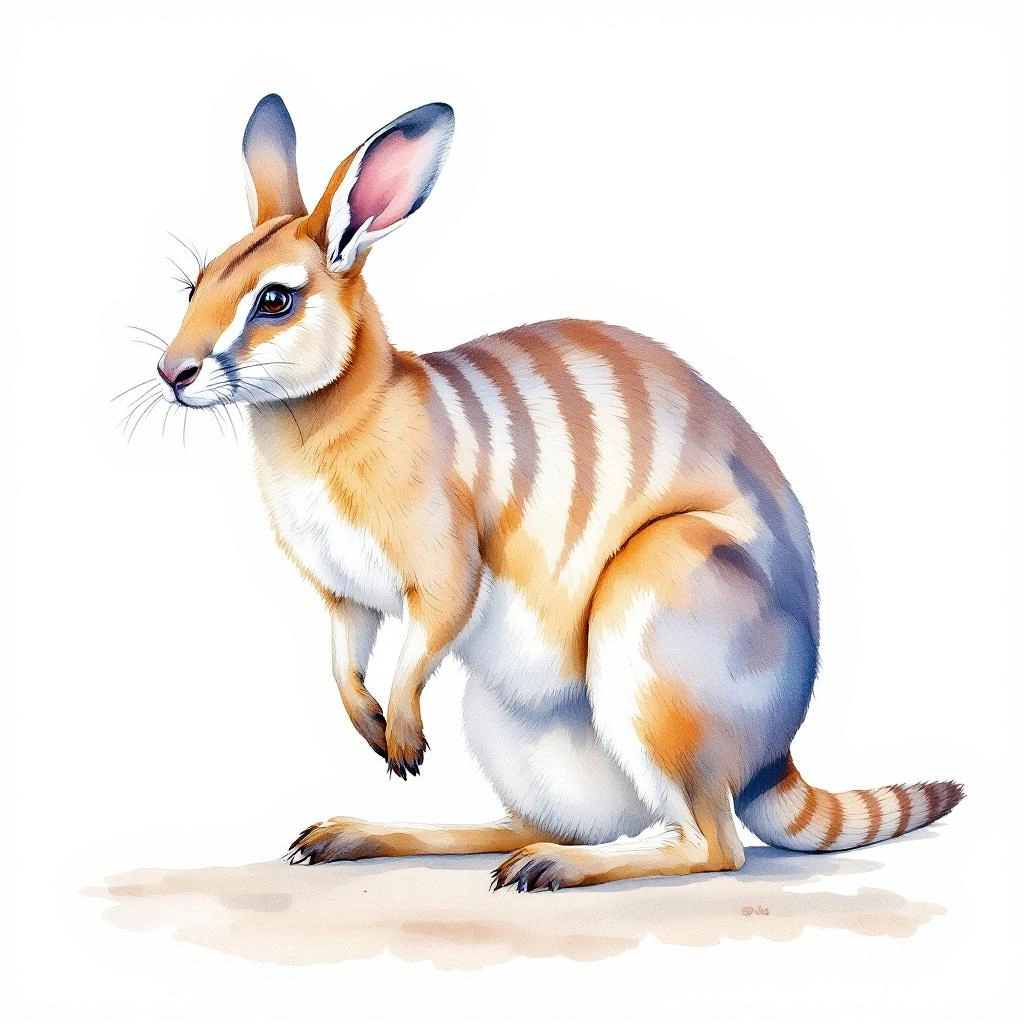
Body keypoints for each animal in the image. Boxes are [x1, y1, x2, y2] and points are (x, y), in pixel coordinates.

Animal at [152, 94, 962, 891]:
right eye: (195, 286)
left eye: (274, 301)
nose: (171, 373)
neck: (332, 412)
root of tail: (773, 758)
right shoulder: (341, 592)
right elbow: (342, 657)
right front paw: (374, 726)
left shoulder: (444, 560)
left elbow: (431, 627)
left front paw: (402, 735)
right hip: (507, 721)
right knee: (546, 820)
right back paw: (376, 837)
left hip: (657, 611)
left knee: (710, 844)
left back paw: (557, 865)